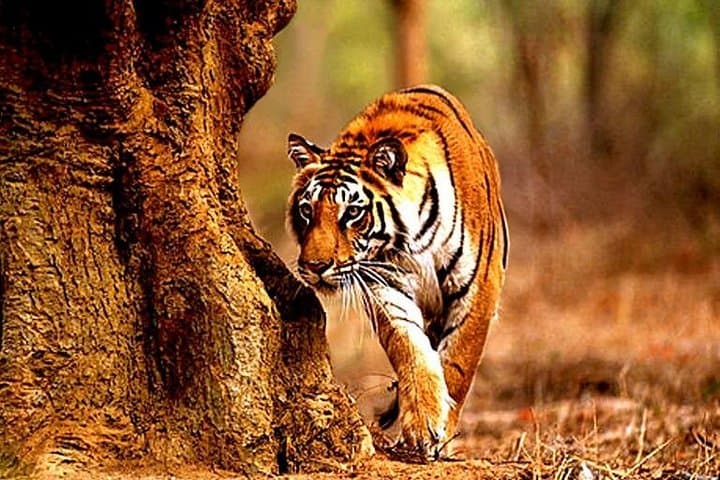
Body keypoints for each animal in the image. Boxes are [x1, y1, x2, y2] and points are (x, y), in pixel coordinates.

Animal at [286, 84, 508, 459]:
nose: (314, 267)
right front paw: (422, 425)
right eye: (306, 211)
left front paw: (442, 435)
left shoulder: (478, 287)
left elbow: (458, 364)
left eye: (352, 213)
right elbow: (412, 351)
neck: (411, 239)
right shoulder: (385, 284)